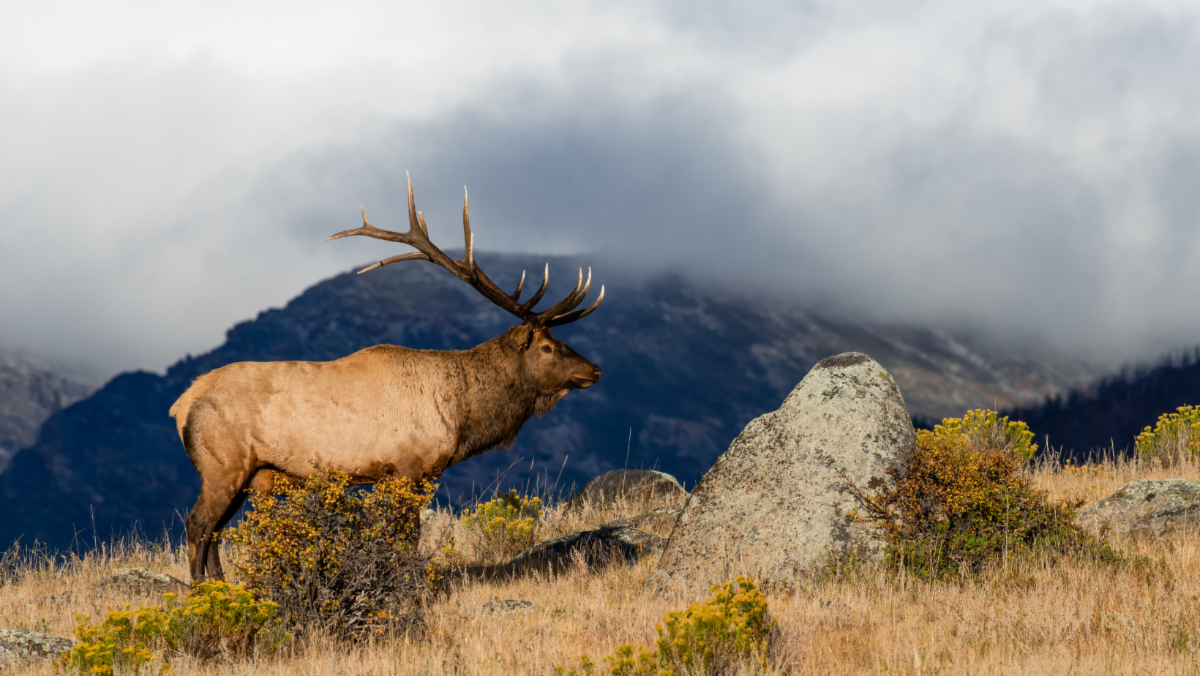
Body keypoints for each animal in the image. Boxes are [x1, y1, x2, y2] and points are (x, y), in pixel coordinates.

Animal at [170, 173, 604, 582]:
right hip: (222, 463)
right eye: (546, 347)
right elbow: (406, 536)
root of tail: (182, 404)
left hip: (247, 474)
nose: (595, 370)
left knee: (215, 532)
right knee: (198, 524)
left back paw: (223, 586)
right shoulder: (408, 466)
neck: (461, 416)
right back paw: (200, 592)